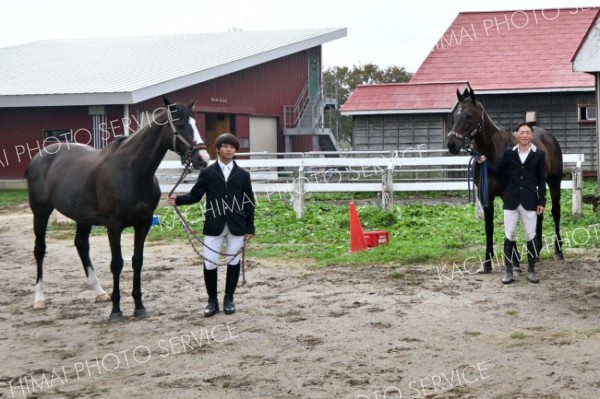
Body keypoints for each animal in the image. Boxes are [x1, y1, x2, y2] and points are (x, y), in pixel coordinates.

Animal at [26, 96, 211, 322]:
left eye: (197, 125)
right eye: (181, 125)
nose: (203, 159)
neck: (132, 171)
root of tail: (41, 155)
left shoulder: (144, 223)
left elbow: (137, 261)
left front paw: (139, 306)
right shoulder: (114, 226)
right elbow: (117, 264)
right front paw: (116, 310)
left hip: (82, 217)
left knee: (81, 245)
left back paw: (99, 292)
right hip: (40, 212)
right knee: (40, 250)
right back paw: (39, 299)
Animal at [448, 88, 564, 272]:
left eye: (469, 115)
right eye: (454, 115)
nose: (451, 144)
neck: (493, 153)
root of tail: (549, 136)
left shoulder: (507, 194)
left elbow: (510, 224)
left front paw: (514, 261)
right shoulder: (486, 196)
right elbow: (490, 227)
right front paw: (487, 263)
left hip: (554, 181)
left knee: (555, 212)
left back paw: (559, 251)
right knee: (539, 214)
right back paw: (535, 252)